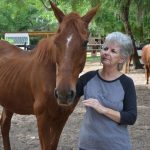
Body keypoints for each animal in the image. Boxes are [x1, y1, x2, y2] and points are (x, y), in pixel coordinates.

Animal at [0, 1, 99, 150]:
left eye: (85, 43)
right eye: (56, 41)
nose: (63, 94)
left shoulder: (61, 118)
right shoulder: (42, 118)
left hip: (9, 102)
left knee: (5, 126)